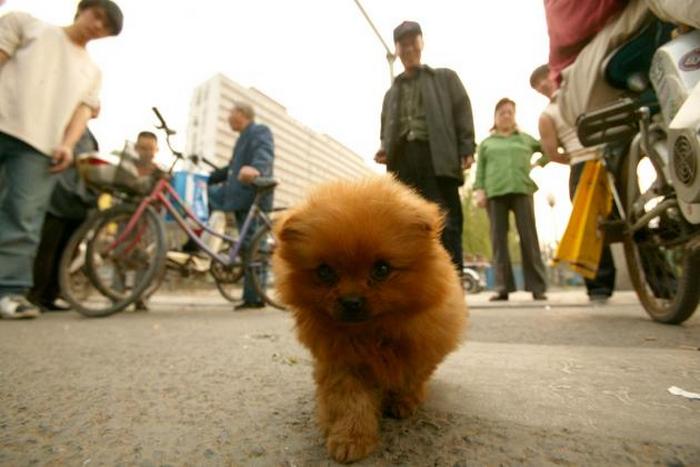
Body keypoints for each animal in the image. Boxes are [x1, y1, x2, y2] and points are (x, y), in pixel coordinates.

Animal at [270, 176, 468, 464]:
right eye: (325, 272)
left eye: (382, 269)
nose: (351, 301)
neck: (372, 334)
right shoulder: (342, 362)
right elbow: (351, 401)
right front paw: (350, 438)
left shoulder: (420, 348)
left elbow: (410, 377)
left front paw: (402, 401)